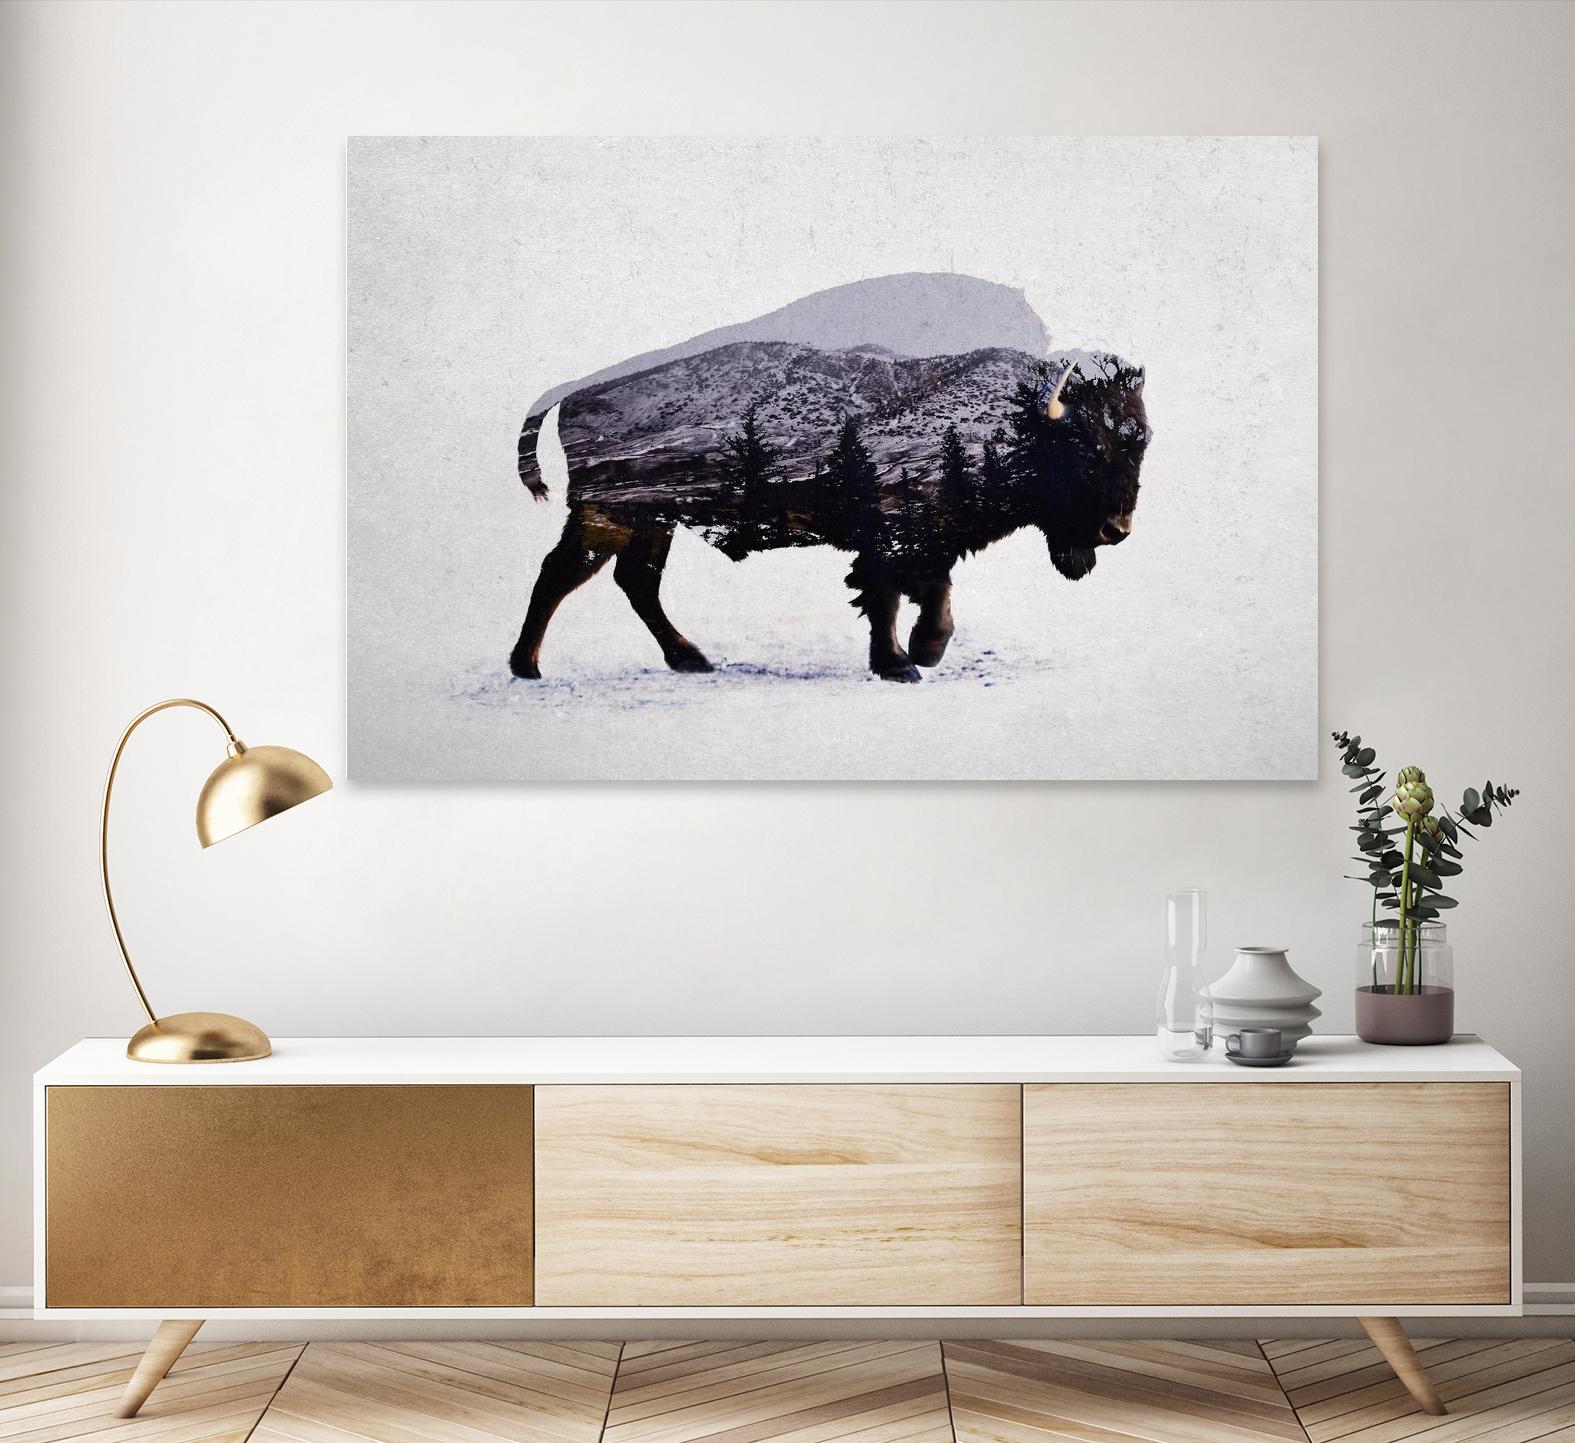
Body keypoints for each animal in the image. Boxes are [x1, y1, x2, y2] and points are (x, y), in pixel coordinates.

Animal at [511, 338, 1150, 682]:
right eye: (1088, 449)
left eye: (1140, 443)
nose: (1115, 531)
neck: (1014, 418)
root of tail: (572, 392)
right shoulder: (893, 536)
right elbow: (887, 595)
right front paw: (901, 664)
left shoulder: (930, 542)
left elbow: (934, 595)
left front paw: (926, 651)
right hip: (607, 516)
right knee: (562, 574)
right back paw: (528, 667)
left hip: (652, 520)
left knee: (636, 581)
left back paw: (691, 659)